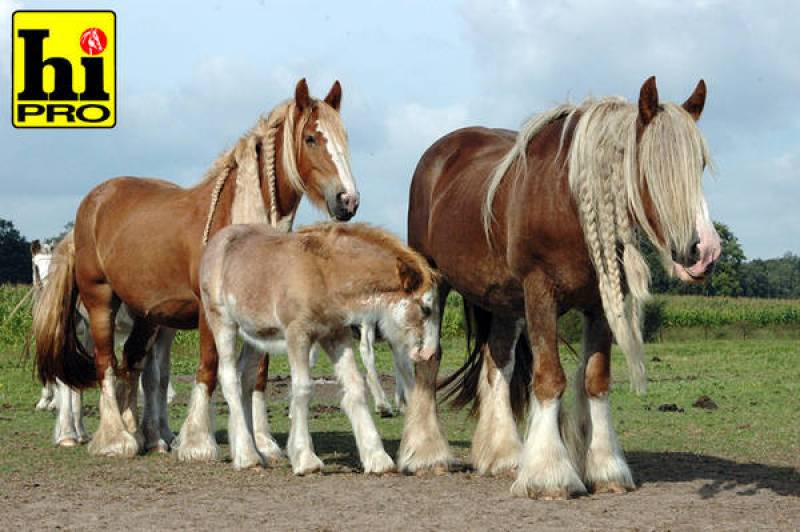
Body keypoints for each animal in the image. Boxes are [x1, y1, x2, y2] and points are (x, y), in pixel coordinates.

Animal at [32, 233, 177, 450]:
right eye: (35, 267)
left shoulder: (161, 331)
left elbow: (156, 378)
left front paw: (157, 437)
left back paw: (82, 432)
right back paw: (70, 434)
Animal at [199, 222, 440, 472]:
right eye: (425, 309)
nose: (429, 352)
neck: (324, 273)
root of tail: (217, 241)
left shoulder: (336, 334)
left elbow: (355, 386)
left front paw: (377, 458)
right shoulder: (298, 334)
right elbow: (303, 388)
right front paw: (306, 459)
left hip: (255, 336)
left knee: (245, 378)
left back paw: (252, 452)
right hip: (223, 323)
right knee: (229, 379)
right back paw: (248, 457)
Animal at [402, 76, 721, 499]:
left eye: (699, 164)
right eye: (649, 165)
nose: (703, 251)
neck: (566, 203)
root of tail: (439, 155)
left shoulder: (601, 302)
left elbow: (596, 380)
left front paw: (606, 469)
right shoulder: (540, 292)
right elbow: (550, 378)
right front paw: (549, 475)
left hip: (504, 301)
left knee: (497, 363)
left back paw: (505, 457)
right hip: (435, 282)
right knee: (430, 358)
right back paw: (427, 456)